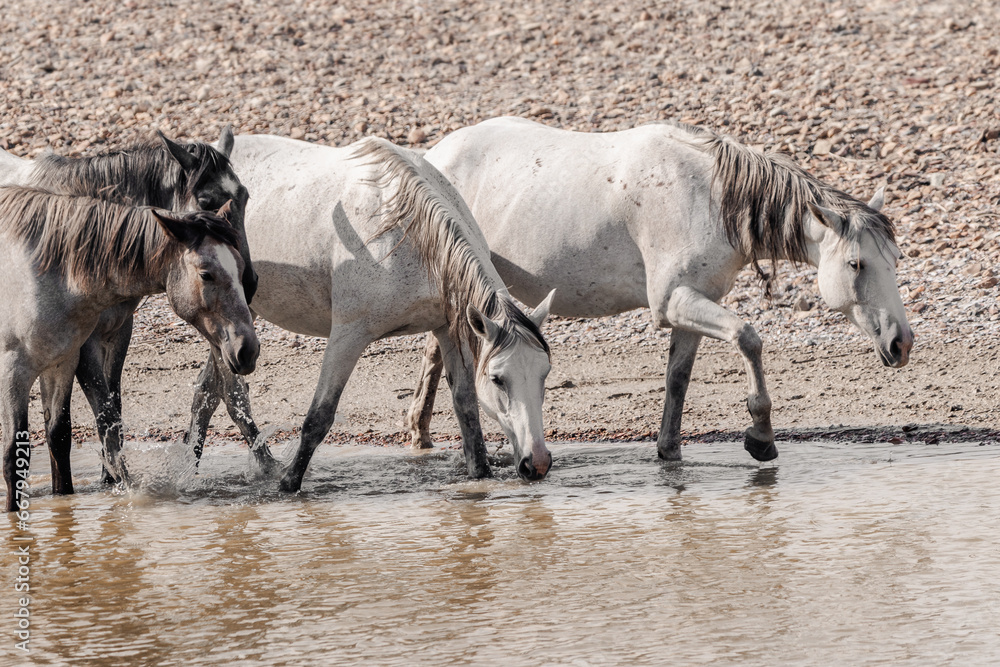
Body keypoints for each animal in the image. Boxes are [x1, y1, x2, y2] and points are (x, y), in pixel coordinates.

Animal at [0, 127, 269, 485]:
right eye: (205, 201)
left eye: (245, 196)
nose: (250, 281)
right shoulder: (84, 346)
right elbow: (103, 414)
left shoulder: (117, 333)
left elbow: (111, 409)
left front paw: (109, 477)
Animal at [183, 134, 555, 492]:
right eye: (497, 379)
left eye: (545, 373)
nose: (536, 463)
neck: (409, 236)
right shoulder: (348, 335)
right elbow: (319, 417)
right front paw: (288, 485)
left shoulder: (449, 331)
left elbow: (467, 412)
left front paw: (481, 477)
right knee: (230, 395)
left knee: (207, 392)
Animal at [406, 117, 914, 463]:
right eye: (856, 264)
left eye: (896, 259)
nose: (901, 343)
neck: (709, 196)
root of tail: (433, 156)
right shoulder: (674, 302)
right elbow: (748, 337)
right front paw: (761, 436)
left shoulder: (692, 304)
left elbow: (678, 379)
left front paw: (669, 452)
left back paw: (421, 432)